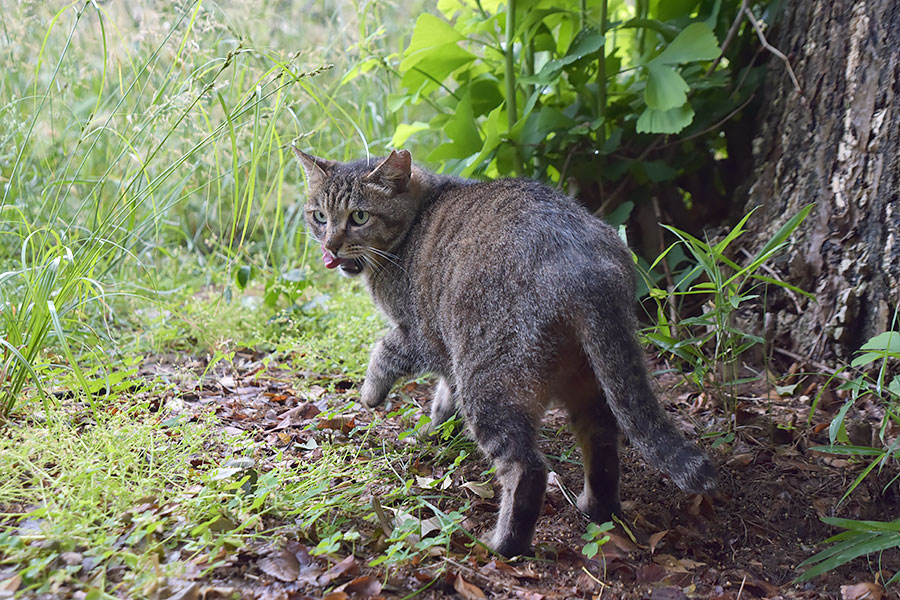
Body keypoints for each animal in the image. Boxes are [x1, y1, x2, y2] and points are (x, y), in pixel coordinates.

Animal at [296, 146, 716, 556]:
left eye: (359, 216)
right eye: (320, 216)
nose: (330, 245)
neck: (417, 217)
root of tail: (587, 267)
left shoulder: (420, 335)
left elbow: (384, 351)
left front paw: (370, 394)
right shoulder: (448, 356)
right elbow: (444, 397)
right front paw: (435, 429)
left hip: (489, 383)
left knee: (527, 469)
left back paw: (504, 544)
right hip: (588, 379)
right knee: (601, 440)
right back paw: (597, 508)